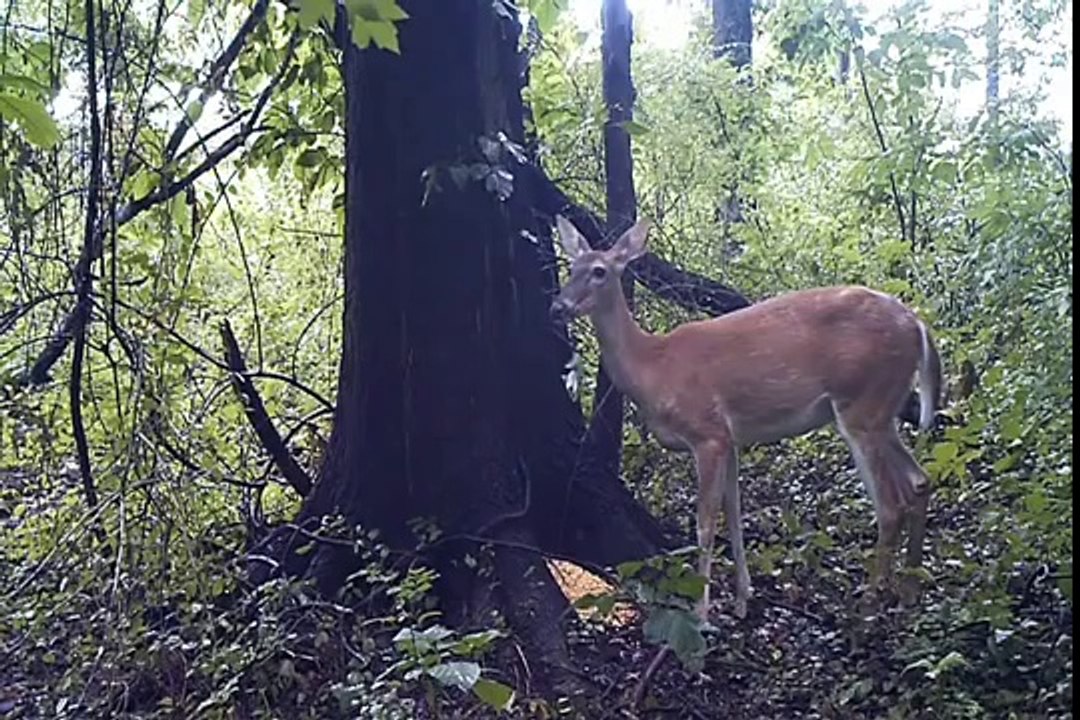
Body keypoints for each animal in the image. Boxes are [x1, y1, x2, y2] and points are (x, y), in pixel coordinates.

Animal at [549, 216, 941, 621]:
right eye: (571, 266)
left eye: (599, 271)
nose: (557, 306)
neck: (652, 365)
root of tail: (918, 324)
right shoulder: (731, 439)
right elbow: (735, 514)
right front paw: (741, 599)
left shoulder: (707, 432)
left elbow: (705, 524)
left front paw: (702, 612)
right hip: (882, 410)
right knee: (920, 481)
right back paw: (909, 591)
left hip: (862, 402)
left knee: (890, 503)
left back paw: (869, 605)